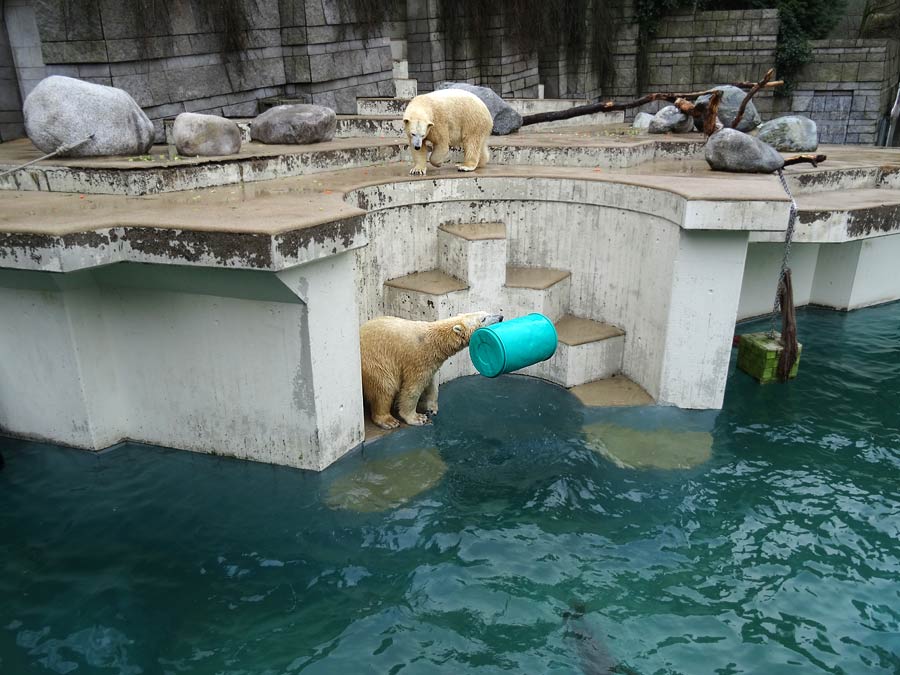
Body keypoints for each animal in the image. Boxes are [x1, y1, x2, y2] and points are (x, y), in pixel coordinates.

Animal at [358, 312, 502, 428]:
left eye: (486, 311)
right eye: (483, 318)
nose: (501, 317)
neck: (434, 340)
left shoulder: (431, 362)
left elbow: (431, 384)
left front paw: (432, 408)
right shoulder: (418, 359)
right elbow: (412, 389)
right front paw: (417, 418)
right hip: (375, 361)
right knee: (384, 387)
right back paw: (388, 421)